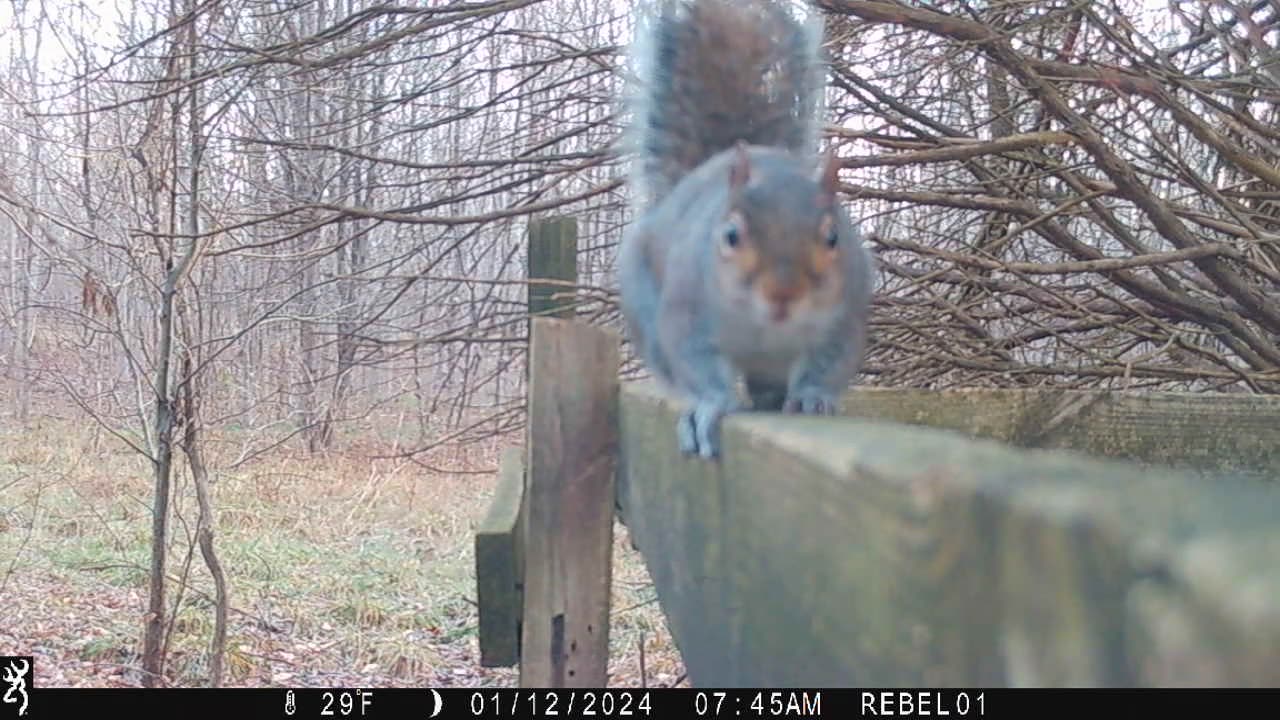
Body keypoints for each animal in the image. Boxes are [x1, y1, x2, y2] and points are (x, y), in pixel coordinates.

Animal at [617, 0, 875, 459]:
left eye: (833, 237)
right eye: (731, 236)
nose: (783, 294)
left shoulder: (843, 318)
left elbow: (829, 363)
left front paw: (813, 397)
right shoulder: (686, 314)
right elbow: (698, 365)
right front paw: (713, 405)